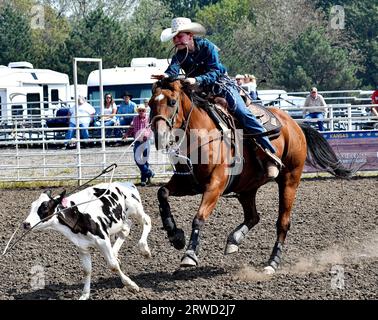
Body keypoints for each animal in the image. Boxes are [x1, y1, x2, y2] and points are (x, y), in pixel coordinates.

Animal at [23, 182, 152, 300]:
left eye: (44, 207)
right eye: (32, 206)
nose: (26, 223)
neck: (78, 216)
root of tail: (127, 183)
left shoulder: (102, 240)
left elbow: (113, 265)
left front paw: (131, 285)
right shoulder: (82, 247)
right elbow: (87, 270)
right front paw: (85, 295)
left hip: (136, 209)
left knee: (147, 221)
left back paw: (145, 250)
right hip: (120, 220)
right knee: (126, 228)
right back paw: (116, 253)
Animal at [148, 77, 352, 272]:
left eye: (172, 102)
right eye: (150, 104)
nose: (159, 137)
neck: (202, 137)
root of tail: (295, 124)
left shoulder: (215, 185)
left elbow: (199, 217)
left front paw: (189, 254)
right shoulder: (188, 183)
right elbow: (162, 193)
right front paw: (175, 235)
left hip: (290, 181)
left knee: (282, 223)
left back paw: (272, 263)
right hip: (247, 188)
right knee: (253, 216)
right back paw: (234, 240)